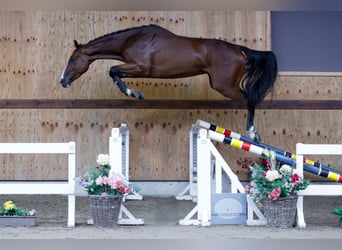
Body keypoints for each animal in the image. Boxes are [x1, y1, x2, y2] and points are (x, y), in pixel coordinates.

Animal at [59, 24, 278, 142]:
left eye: (72, 59)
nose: (63, 81)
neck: (133, 39)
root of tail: (239, 50)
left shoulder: (141, 67)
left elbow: (112, 70)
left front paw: (134, 93)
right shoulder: (137, 69)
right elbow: (115, 73)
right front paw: (134, 93)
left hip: (224, 86)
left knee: (250, 99)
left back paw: (253, 133)